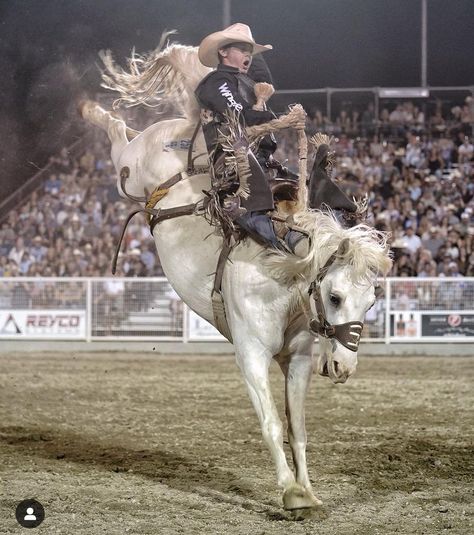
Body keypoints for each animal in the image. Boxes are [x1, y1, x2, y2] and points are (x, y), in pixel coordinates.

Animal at [80, 40, 392, 510]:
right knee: (118, 134)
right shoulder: (251, 356)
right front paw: (290, 493)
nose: (344, 367)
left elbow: (298, 429)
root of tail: (188, 124)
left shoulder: (299, 360)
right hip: (128, 171)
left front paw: (309, 490)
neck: (284, 276)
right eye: (335, 297)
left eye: (372, 299)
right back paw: (90, 111)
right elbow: (272, 424)